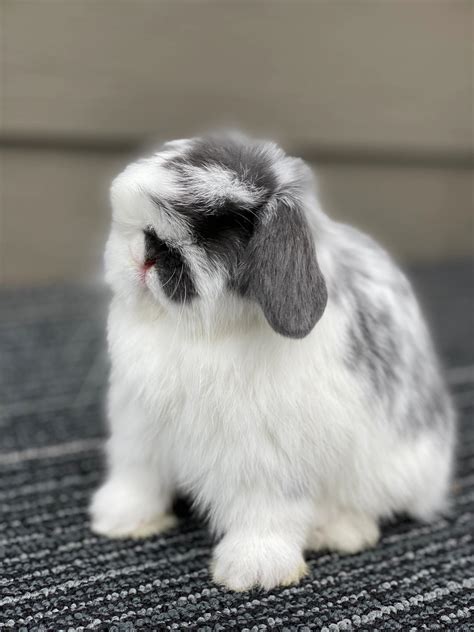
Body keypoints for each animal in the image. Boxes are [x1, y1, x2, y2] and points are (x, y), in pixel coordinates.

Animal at [89, 131, 456, 592]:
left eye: (222, 227)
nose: (147, 250)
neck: (199, 333)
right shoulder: (139, 428)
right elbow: (138, 477)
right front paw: (119, 519)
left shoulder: (270, 459)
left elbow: (266, 512)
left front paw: (254, 570)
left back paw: (339, 531)